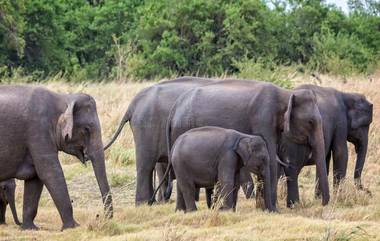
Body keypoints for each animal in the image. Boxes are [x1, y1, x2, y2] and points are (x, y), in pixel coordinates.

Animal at [0, 85, 112, 231]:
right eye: (86, 129)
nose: (102, 219)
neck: (63, 97)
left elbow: (35, 178)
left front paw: (30, 228)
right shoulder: (38, 131)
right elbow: (50, 173)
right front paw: (73, 227)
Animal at [160, 78, 330, 210]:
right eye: (310, 122)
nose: (323, 204)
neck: (285, 93)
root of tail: (173, 109)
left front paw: (262, 208)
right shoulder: (263, 119)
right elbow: (271, 159)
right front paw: (270, 209)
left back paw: (181, 211)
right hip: (182, 129)